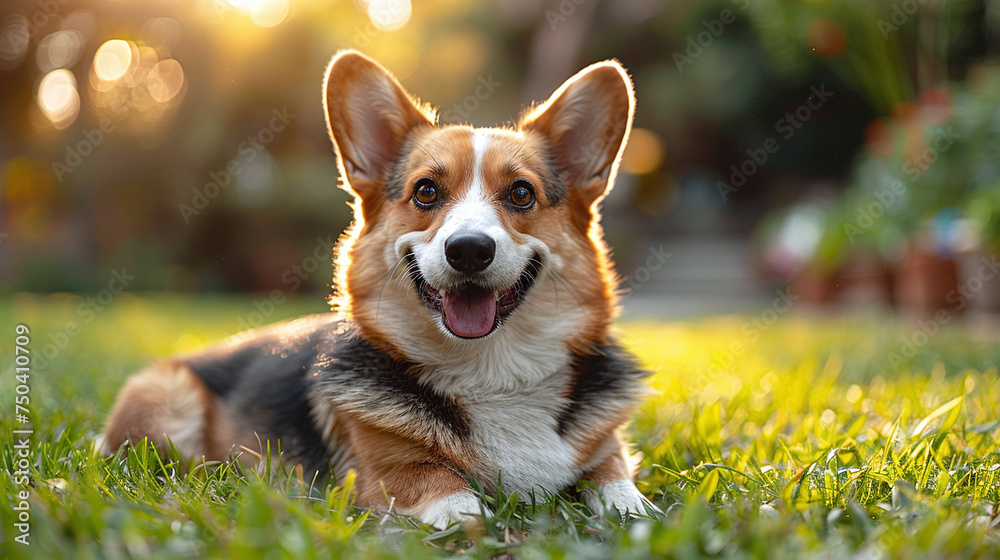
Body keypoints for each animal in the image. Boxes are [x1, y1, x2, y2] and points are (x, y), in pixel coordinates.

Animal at [103, 50, 656, 528]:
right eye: (426, 191)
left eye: (522, 194)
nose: (469, 250)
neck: (491, 368)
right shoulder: (386, 471)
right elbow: (451, 495)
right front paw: (473, 522)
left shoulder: (608, 447)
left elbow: (617, 483)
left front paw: (633, 509)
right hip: (167, 403)